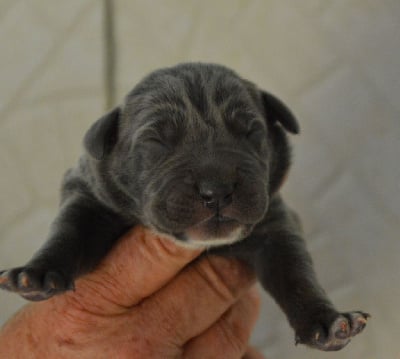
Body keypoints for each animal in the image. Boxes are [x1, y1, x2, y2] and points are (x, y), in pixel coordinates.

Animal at [0, 62, 368, 352]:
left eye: (252, 132)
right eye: (156, 142)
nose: (217, 190)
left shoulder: (276, 224)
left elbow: (295, 272)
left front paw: (328, 322)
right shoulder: (89, 196)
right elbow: (69, 230)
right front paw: (37, 272)